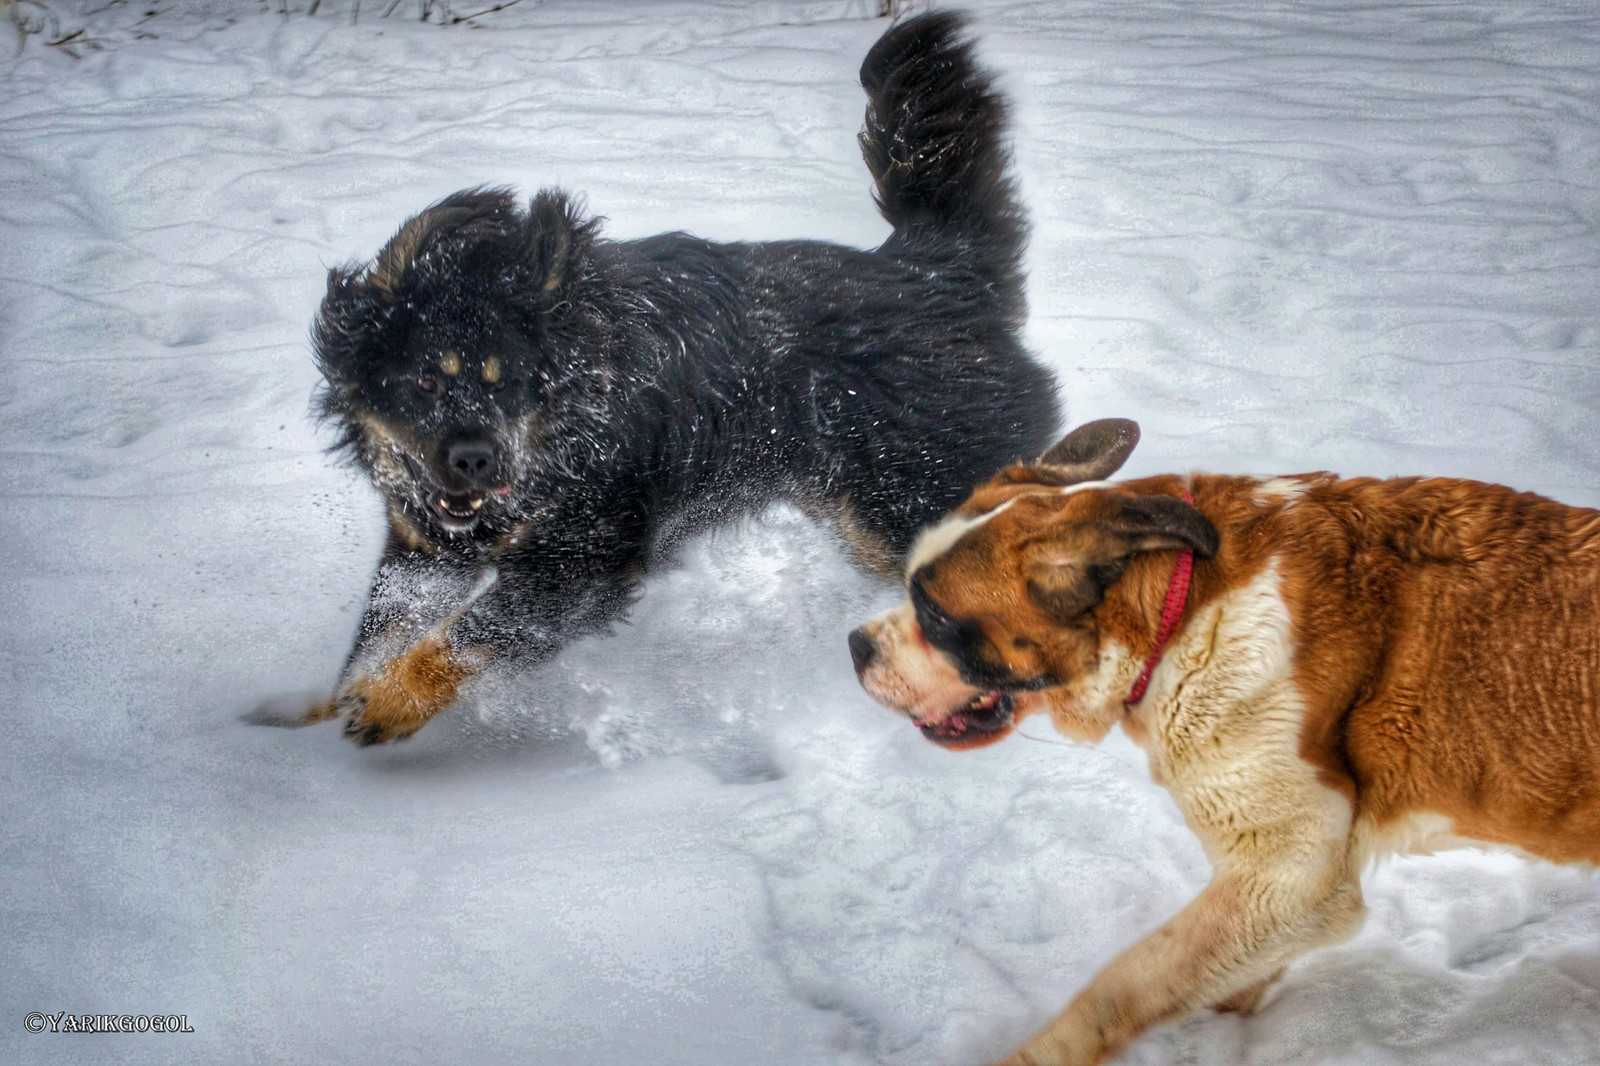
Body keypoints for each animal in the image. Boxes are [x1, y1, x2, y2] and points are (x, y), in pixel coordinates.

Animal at [276, 12, 1062, 742]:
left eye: (510, 382)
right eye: (426, 384)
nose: (475, 458)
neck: (565, 423)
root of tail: (936, 267)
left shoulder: (581, 561)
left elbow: (468, 638)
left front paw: (388, 701)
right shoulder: (425, 549)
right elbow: (383, 625)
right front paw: (320, 708)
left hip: (904, 500)